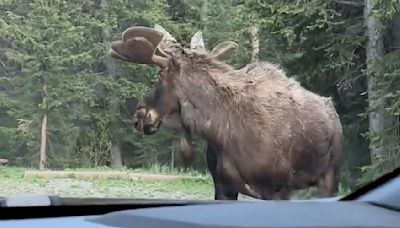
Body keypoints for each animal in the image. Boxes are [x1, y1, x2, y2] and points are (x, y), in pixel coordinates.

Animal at [110, 24, 344, 200]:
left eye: (160, 75)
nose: (139, 115)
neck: (218, 130)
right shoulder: (223, 185)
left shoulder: (276, 188)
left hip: (329, 178)